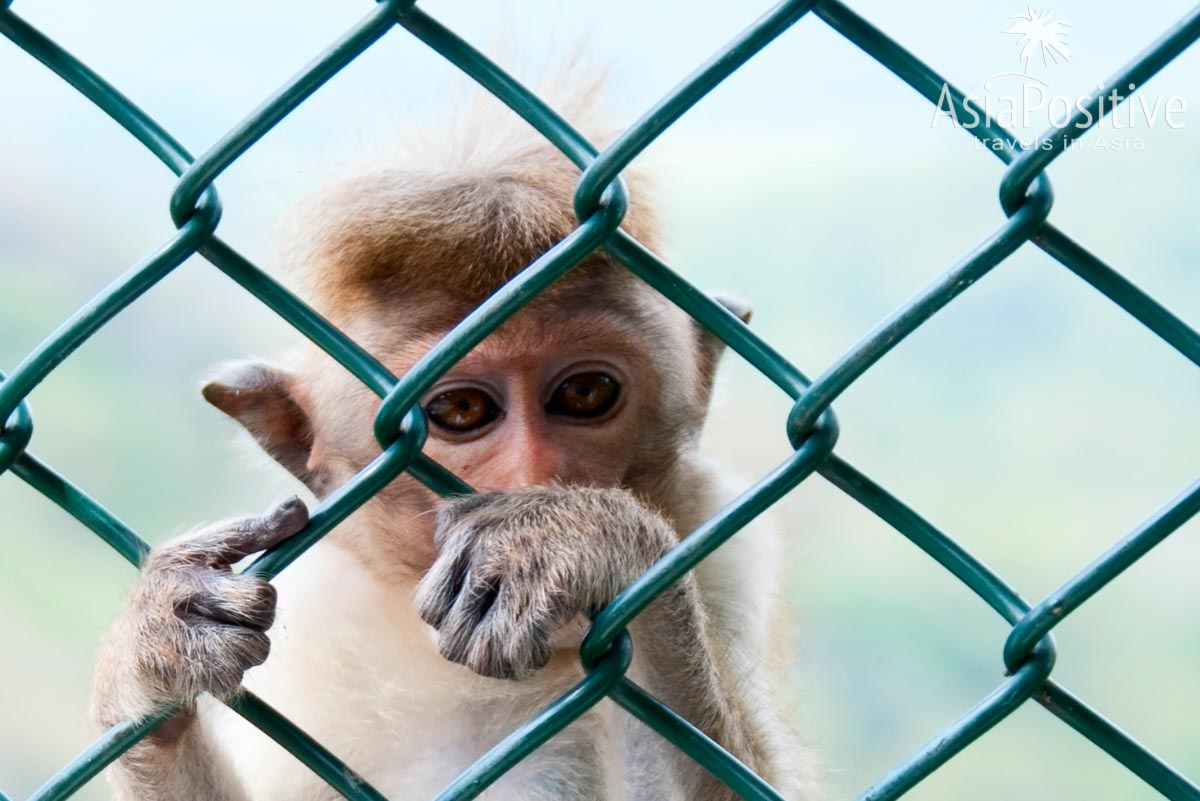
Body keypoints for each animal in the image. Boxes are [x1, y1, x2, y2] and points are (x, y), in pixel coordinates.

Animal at [88, 98, 820, 801]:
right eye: (462, 411)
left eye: (585, 393)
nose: (536, 478)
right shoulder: (323, 621)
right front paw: (156, 641)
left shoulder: (722, 547)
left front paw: (566, 537)